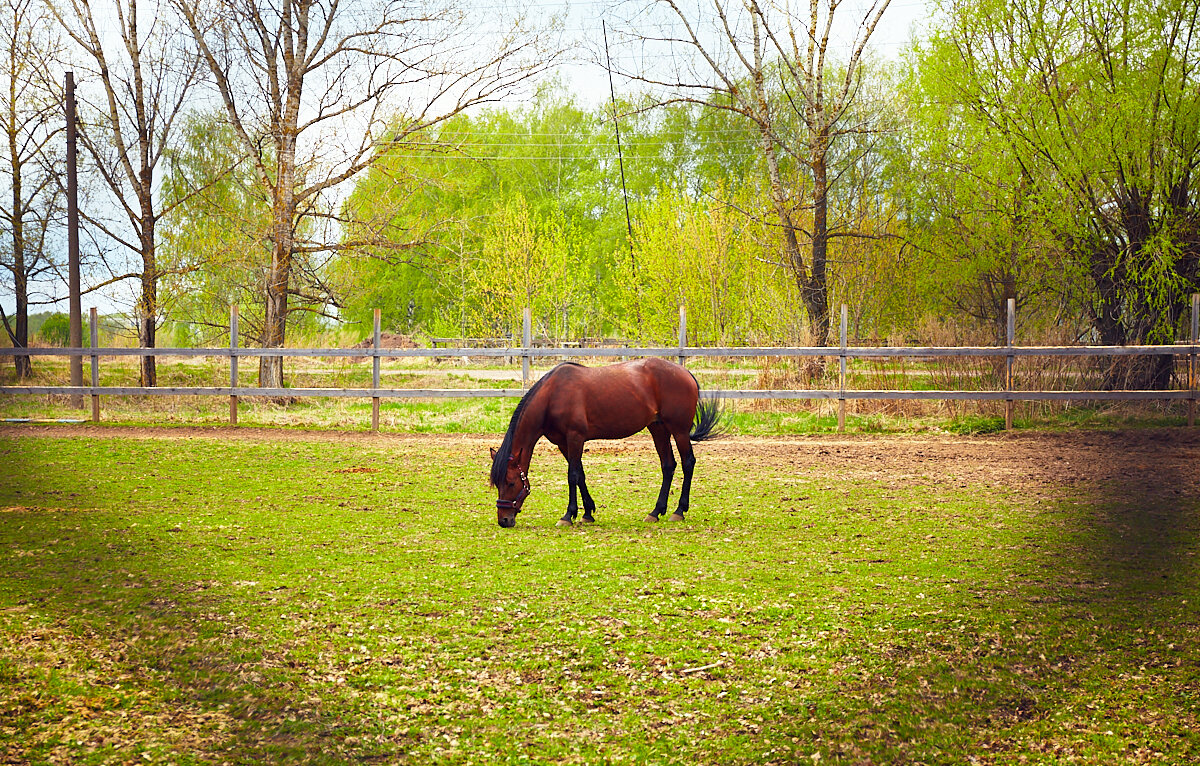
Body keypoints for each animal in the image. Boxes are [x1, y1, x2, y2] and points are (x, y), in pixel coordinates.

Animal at [487, 357, 720, 528]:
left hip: (679, 431)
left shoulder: (575, 438)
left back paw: (679, 511)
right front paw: (587, 513)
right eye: (497, 484)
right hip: (658, 428)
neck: (553, 396)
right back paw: (655, 512)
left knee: (688, 463)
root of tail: (685, 373)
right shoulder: (564, 443)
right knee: (668, 465)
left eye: (511, 482)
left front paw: (568, 515)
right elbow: (580, 474)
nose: (504, 520)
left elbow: (572, 476)